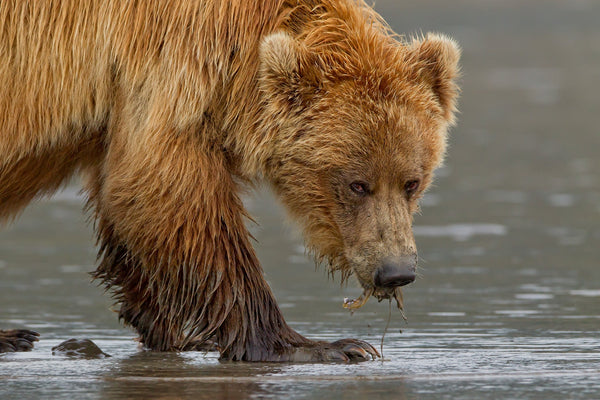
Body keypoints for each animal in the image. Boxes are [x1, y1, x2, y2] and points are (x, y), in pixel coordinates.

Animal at [0, 0, 460, 362]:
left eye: (412, 182)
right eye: (357, 184)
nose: (395, 272)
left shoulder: (119, 109)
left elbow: (126, 204)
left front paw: (175, 334)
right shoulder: (170, 67)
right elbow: (169, 195)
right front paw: (320, 345)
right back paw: (14, 335)